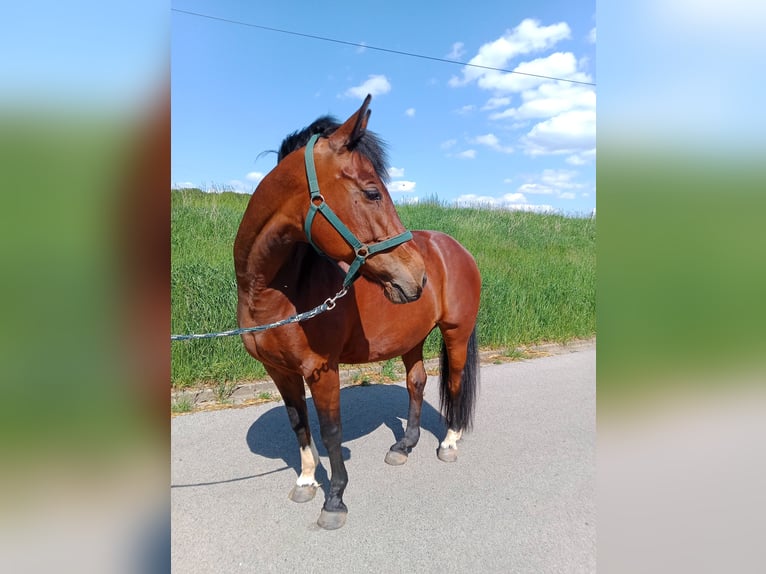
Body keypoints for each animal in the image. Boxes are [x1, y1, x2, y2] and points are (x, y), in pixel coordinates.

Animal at [233, 94, 481, 530]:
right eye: (372, 193)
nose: (417, 276)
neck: (273, 290)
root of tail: (455, 249)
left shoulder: (321, 369)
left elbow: (331, 430)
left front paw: (335, 499)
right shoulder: (279, 370)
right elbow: (299, 423)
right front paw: (306, 482)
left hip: (456, 333)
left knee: (452, 382)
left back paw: (449, 442)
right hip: (412, 337)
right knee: (416, 382)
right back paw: (404, 445)